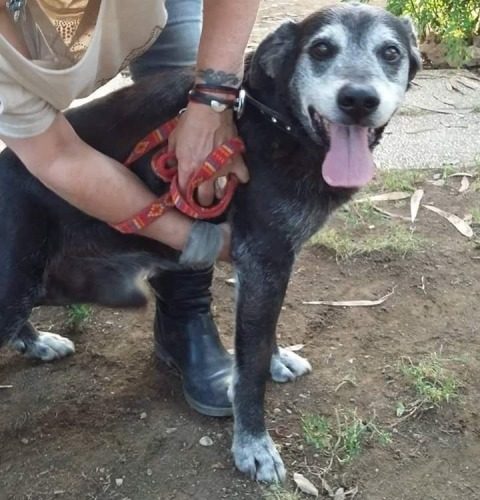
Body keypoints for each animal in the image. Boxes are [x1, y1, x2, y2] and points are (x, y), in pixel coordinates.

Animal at [0, 2, 418, 480]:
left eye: (390, 52)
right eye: (321, 49)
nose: (359, 100)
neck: (276, 120)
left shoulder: (266, 269)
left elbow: (263, 337)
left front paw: (276, 359)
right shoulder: (264, 261)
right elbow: (249, 368)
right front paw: (253, 444)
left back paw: (37, 343)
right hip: (16, 281)